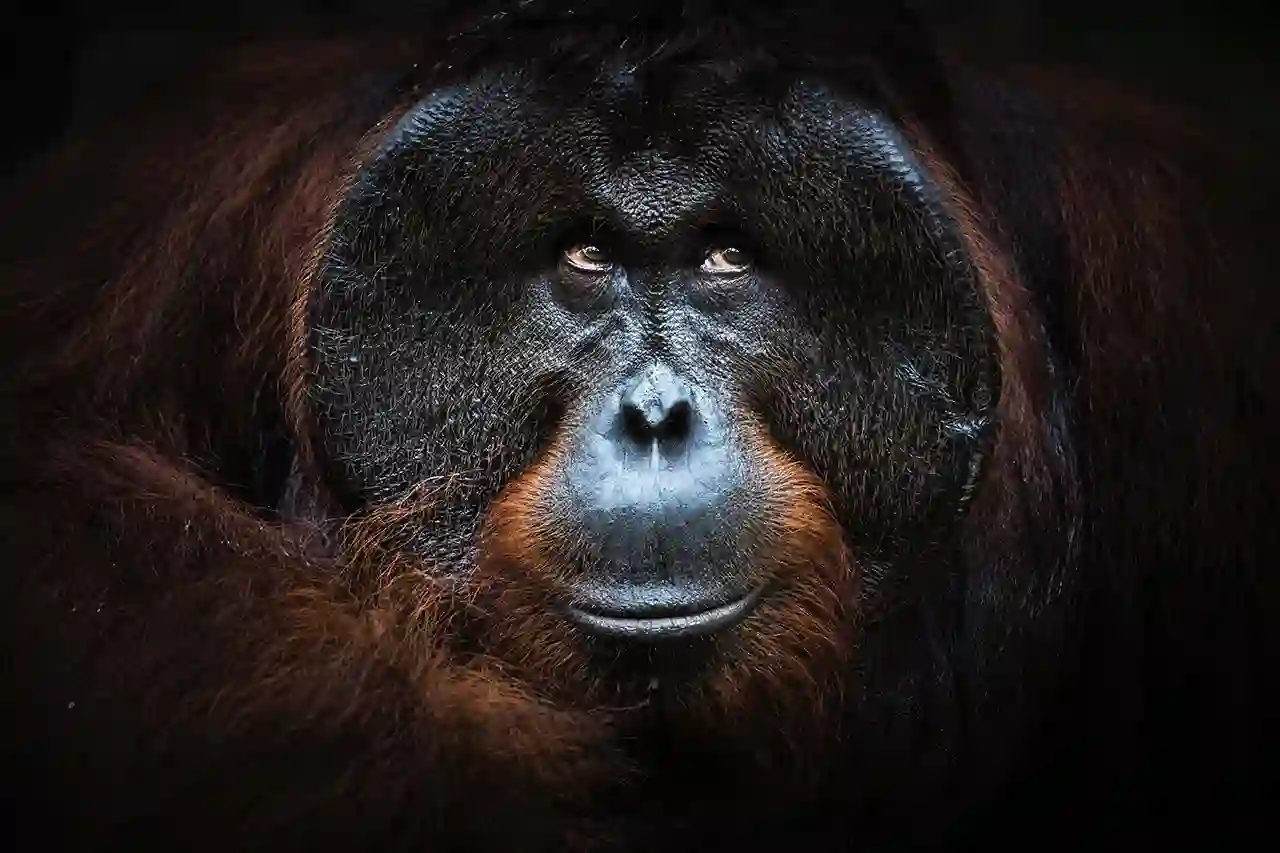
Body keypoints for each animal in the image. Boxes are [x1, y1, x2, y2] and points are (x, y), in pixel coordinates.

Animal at [0, 2, 1275, 851]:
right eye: (586, 255)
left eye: (722, 257)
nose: (654, 415)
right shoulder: (203, 184)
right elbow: (56, 493)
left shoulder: (1181, 281)